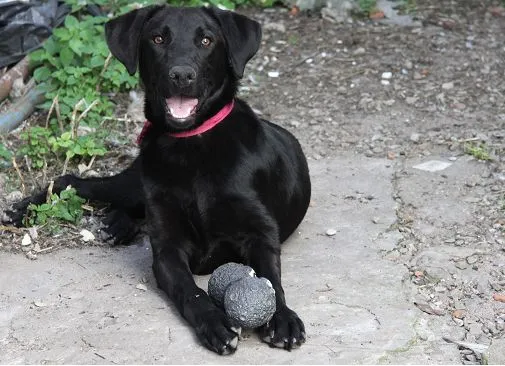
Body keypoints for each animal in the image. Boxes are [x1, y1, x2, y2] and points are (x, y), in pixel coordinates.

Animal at [5, 5, 310, 354]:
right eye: (158, 39)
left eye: (206, 40)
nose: (181, 75)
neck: (191, 148)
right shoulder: (167, 249)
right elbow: (190, 291)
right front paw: (214, 322)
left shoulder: (260, 234)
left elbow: (270, 280)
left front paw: (282, 317)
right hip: (135, 184)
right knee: (74, 181)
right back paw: (23, 210)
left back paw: (118, 225)